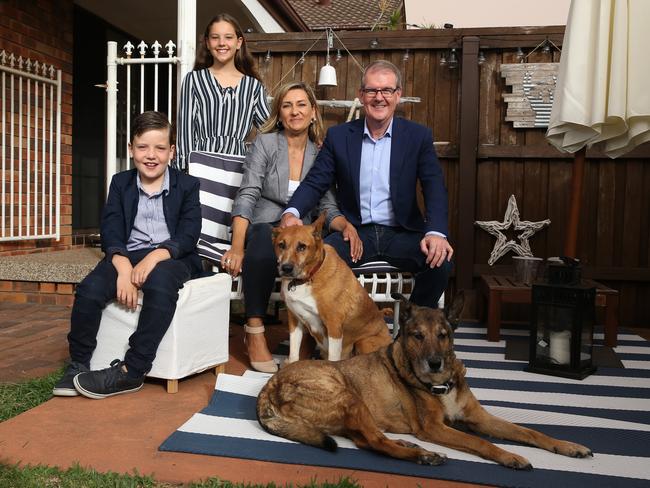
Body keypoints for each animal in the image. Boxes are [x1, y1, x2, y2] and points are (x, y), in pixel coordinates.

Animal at [256, 294, 588, 468]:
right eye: (417, 336)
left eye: (443, 335)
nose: (435, 362)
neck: (442, 382)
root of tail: (267, 389)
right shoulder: (434, 428)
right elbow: (480, 441)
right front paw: (509, 456)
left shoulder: (479, 417)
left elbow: (529, 431)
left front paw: (568, 446)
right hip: (348, 395)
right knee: (376, 442)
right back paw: (422, 454)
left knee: (366, 439)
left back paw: (408, 445)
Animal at [270, 214, 390, 362]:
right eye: (281, 245)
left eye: (302, 247)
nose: (286, 268)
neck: (308, 278)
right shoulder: (294, 320)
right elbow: (293, 353)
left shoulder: (334, 325)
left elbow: (333, 358)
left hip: (364, 342)